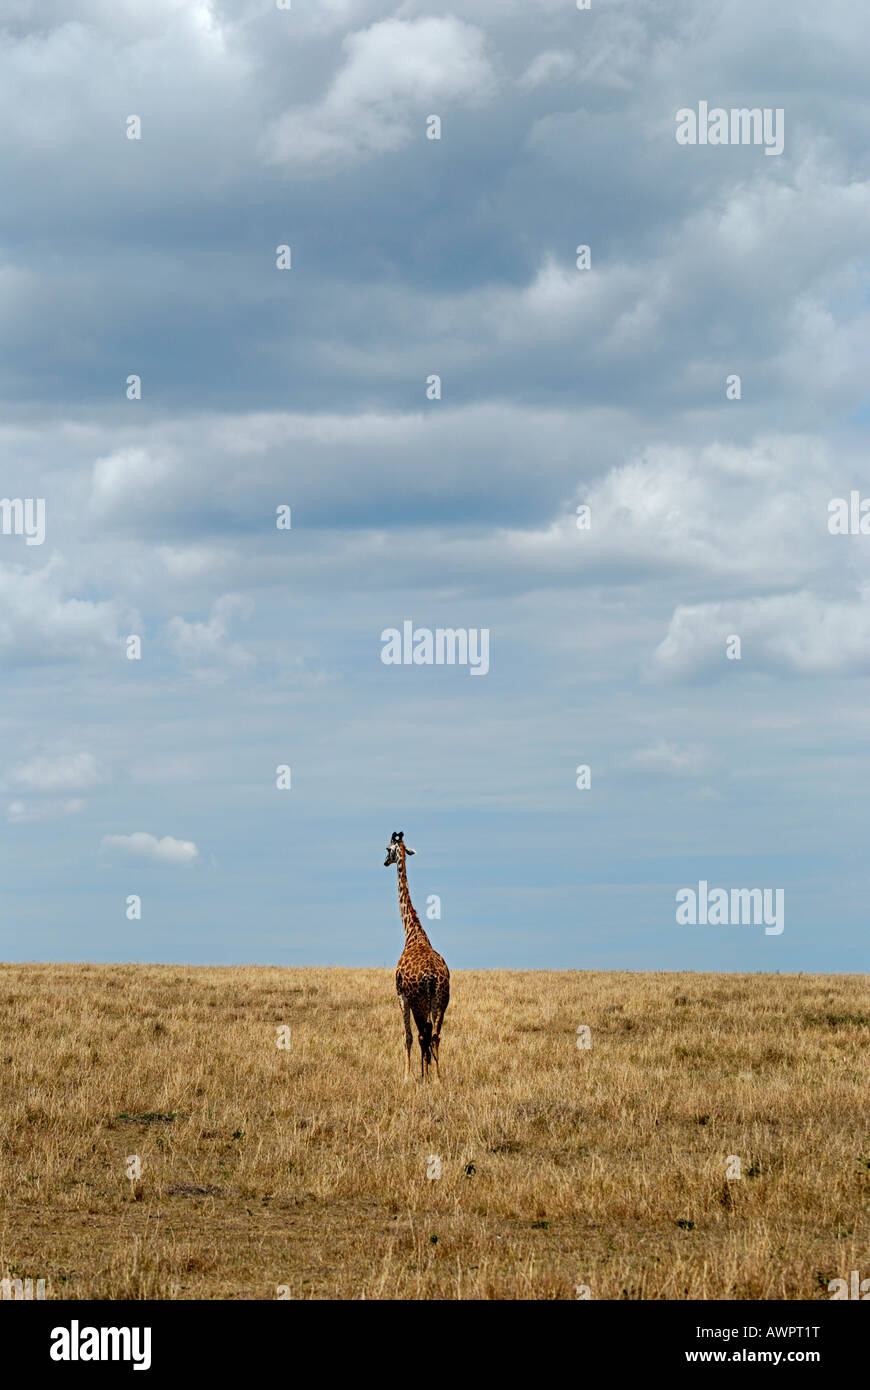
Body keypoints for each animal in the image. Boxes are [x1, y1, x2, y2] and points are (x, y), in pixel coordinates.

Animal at [383, 828, 450, 1078]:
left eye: (387, 849)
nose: (385, 862)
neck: (413, 932)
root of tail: (432, 978)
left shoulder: (401, 995)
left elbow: (408, 1036)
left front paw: (407, 1076)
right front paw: (424, 1074)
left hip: (420, 1001)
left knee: (423, 1035)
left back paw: (428, 1076)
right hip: (441, 1000)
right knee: (435, 1035)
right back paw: (437, 1078)